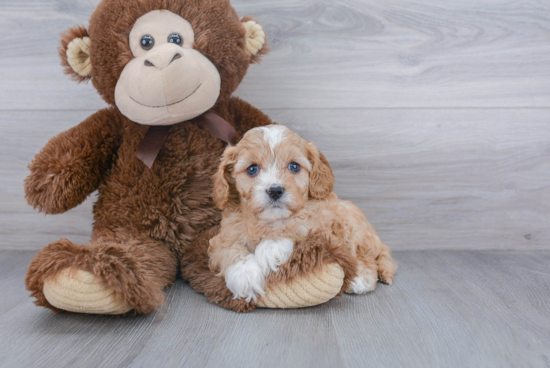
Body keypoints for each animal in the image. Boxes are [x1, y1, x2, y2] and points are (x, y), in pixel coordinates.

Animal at [208, 125, 396, 300]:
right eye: (252, 169)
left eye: (294, 166)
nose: (275, 190)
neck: (268, 220)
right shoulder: (223, 236)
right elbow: (229, 248)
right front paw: (245, 276)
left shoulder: (319, 221)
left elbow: (295, 224)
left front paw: (270, 249)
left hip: (350, 224)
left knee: (365, 257)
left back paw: (361, 279)